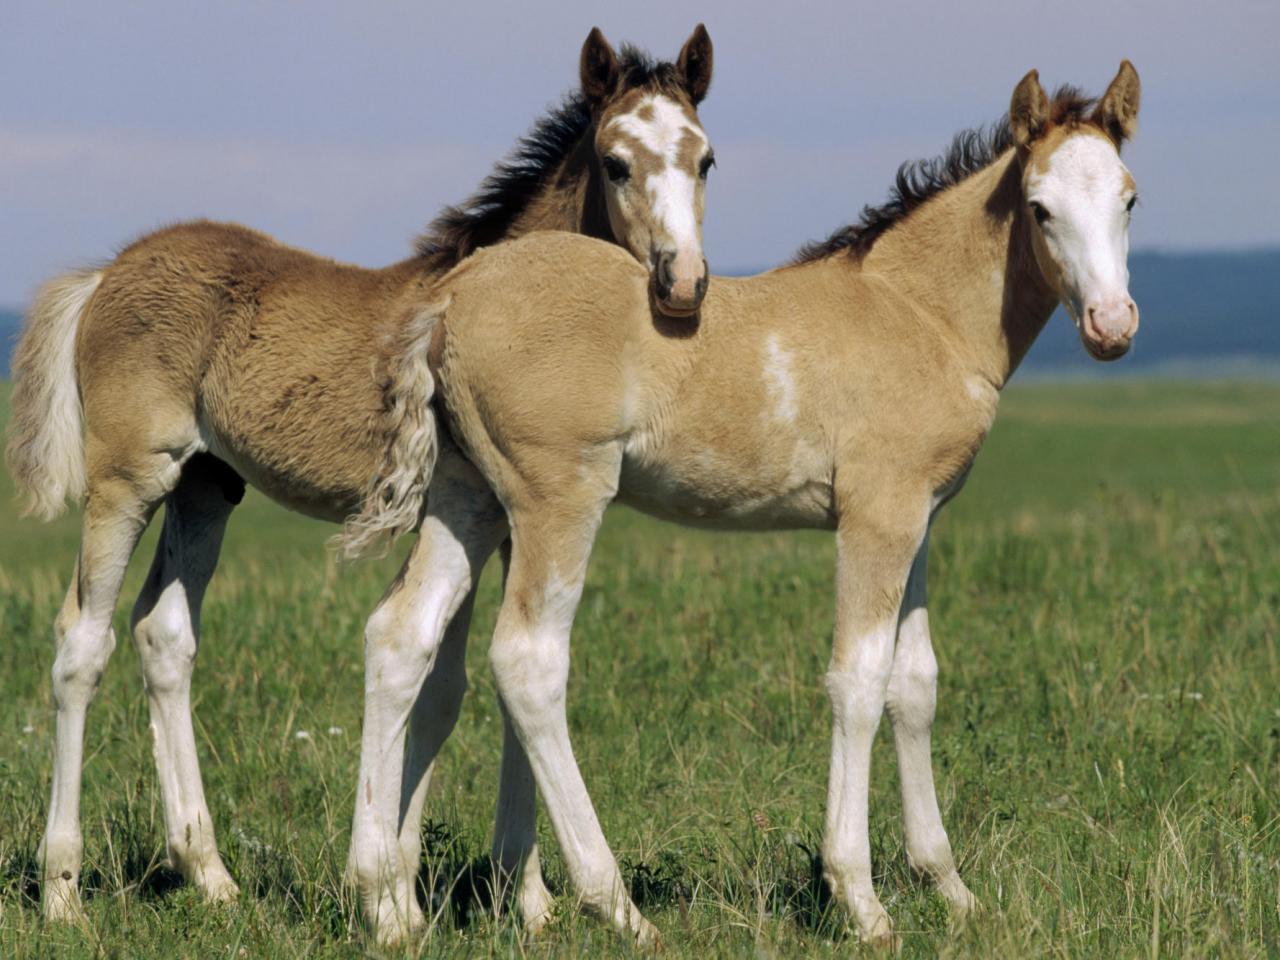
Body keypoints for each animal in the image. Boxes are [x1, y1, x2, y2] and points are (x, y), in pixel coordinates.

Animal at [348, 62, 1141, 947]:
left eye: (1129, 198)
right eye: (1040, 207)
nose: (1113, 325)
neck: (919, 314)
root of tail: (451, 297)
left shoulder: (921, 519)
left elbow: (915, 685)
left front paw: (951, 890)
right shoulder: (877, 517)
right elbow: (858, 681)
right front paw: (862, 902)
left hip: (468, 495)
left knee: (400, 636)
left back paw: (386, 903)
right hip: (557, 495)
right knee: (527, 661)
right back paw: (615, 906)